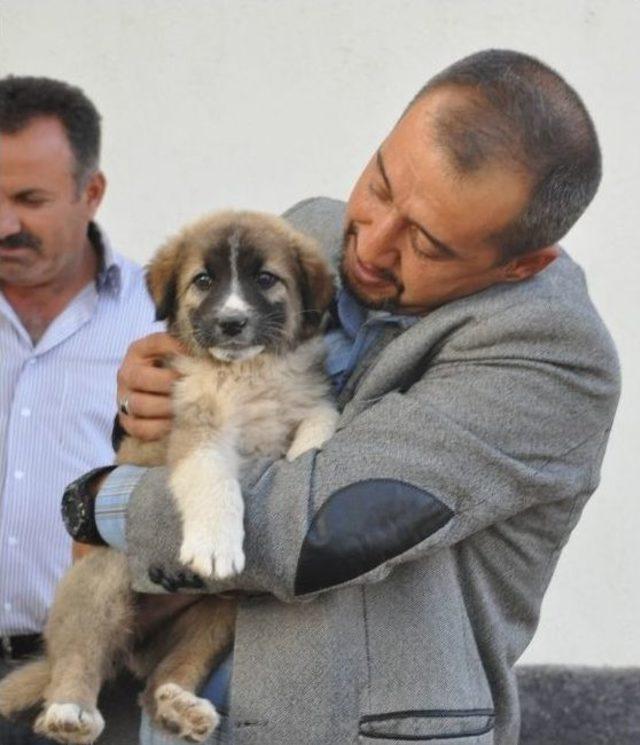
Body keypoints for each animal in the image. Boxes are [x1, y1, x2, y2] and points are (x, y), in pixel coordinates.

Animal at [0, 211, 340, 744]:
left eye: (266, 279)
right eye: (203, 281)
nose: (231, 323)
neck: (246, 374)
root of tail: (132, 649)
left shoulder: (304, 398)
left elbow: (321, 417)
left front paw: (307, 452)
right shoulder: (194, 433)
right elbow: (214, 482)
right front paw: (216, 545)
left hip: (216, 614)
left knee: (165, 675)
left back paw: (181, 705)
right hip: (103, 576)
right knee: (78, 656)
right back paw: (69, 711)